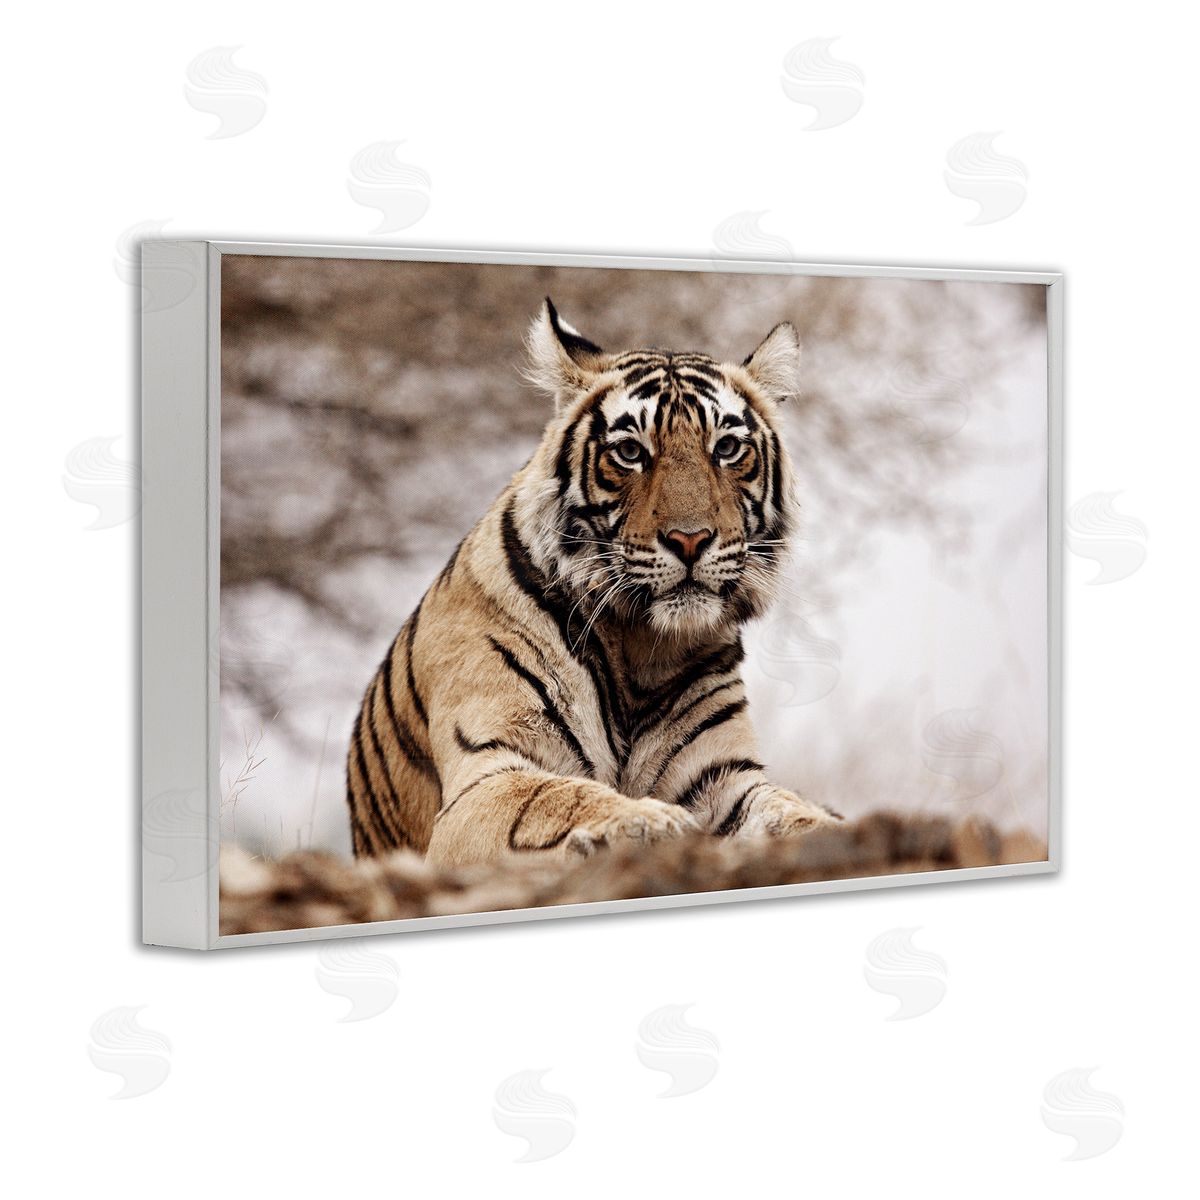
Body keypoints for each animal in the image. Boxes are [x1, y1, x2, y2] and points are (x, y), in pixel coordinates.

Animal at [346, 298, 838, 866]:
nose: (690, 539)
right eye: (630, 452)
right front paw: (650, 820)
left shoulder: (723, 777)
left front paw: (828, 827)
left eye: (727, 448)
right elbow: (558, 797)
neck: (642, 648)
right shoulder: (487, 775)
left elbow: (787, 809)